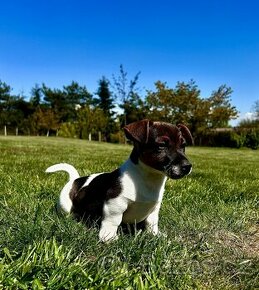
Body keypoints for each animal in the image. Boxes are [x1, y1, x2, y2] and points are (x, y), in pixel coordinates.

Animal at [46, 119, 193, 241]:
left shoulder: (154, 208)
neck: (149, 178)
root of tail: (75, 179)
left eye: (183, 145)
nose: (187, 166)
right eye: (161, 145)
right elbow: (113, 220)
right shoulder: (115, 204)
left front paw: (155, 235)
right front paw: (109, 236)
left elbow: (152, 223)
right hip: (65, 206)